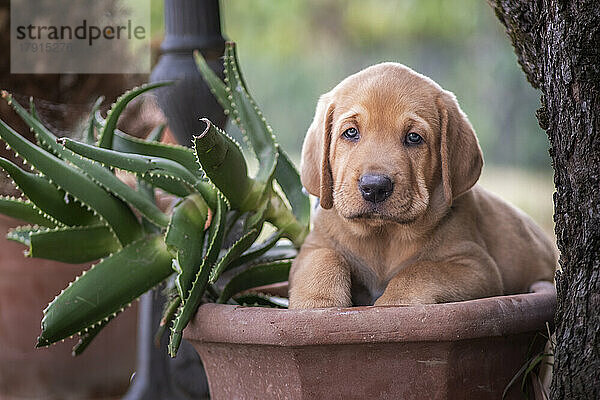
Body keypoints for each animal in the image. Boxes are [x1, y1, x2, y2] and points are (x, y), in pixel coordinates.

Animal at [288, 62, 556, 308]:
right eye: (351, 133)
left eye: (413, 137)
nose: (375, 187)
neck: (382, 236)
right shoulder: (312, 247)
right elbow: (323, 259)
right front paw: (318, 303)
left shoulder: (475, 265)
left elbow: (421, 271)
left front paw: (393, 303)